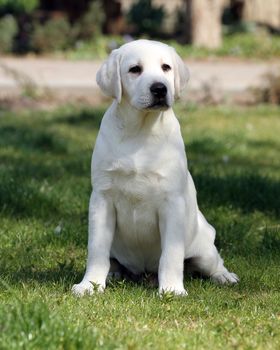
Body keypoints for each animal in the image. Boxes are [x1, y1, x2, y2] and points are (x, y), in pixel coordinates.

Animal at [72, 39, 238, 296]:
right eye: (135, 69)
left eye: (166, 68)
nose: (160, 89)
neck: (140, 130)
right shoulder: (102, 198)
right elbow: (97, 249)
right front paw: (90, 284)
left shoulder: (172, 202)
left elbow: (171, 253)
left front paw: (172, 289)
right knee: (112, 260)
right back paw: (113, 274)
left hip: (203, 248)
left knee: (213, 262)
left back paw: (225, 276)